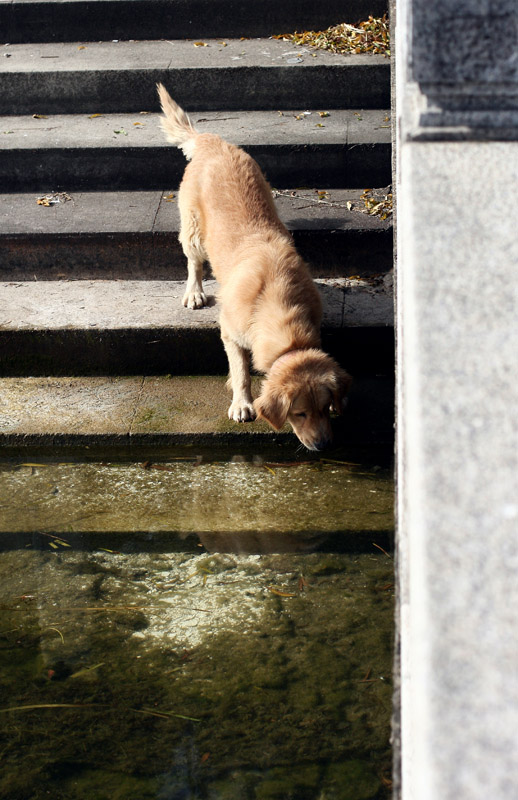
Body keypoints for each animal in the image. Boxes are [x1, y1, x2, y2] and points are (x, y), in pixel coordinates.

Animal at [158, 87, 354, 454]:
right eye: (299, 414)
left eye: (325, 408)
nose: (323, 446)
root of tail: (212, 140)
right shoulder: (230, 332)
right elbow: (241, 371)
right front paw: (242, 403)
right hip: (192, 230)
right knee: (193, 262)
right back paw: (195, 292)